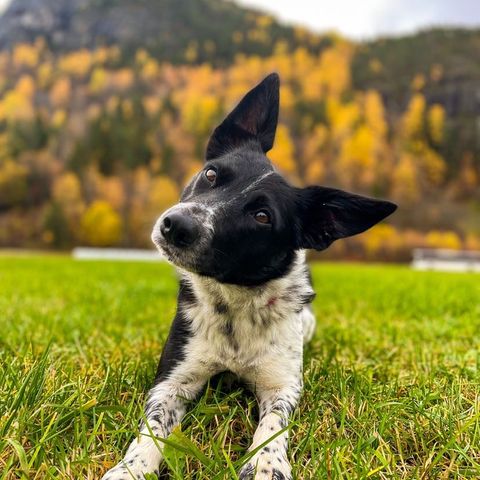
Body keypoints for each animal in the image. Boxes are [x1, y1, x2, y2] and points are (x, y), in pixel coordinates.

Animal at [102, 73, 398, 478]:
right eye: (211, 174)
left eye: (262, 216)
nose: (175, 225)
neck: (234, 303)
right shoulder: (173, 380)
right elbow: (153, 426)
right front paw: (130, 468)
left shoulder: (282, 386)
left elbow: (273, 425)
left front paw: (266, 464)